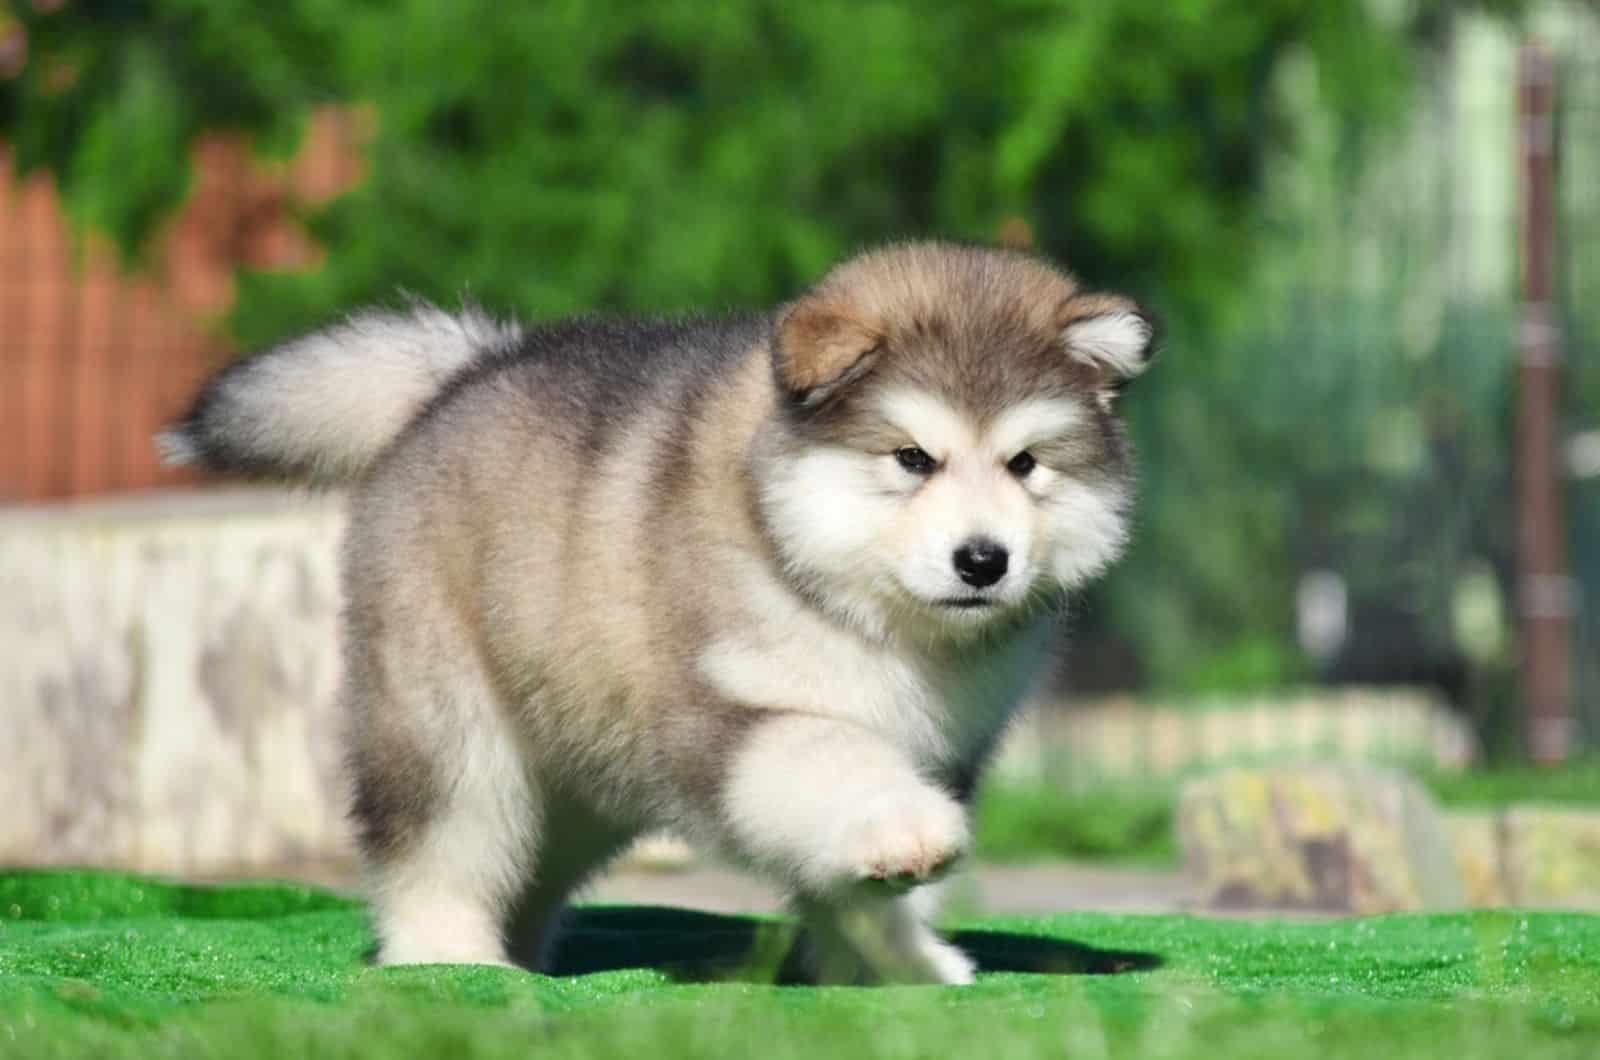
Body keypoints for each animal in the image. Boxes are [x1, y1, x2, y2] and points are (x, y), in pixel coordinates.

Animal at [162, 240, 1158, 986]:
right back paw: (451, 961)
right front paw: (906, 833)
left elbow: (863, 890)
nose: (985, 560)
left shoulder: (947, 746)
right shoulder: (724, 712)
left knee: (526, 867)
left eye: (1026, 464)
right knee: (442, 847)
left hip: (572, 773)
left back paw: (521, 957)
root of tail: (462, 378)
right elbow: (829, 761)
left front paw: (899, 964)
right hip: (450, 726)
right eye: (913, 458)